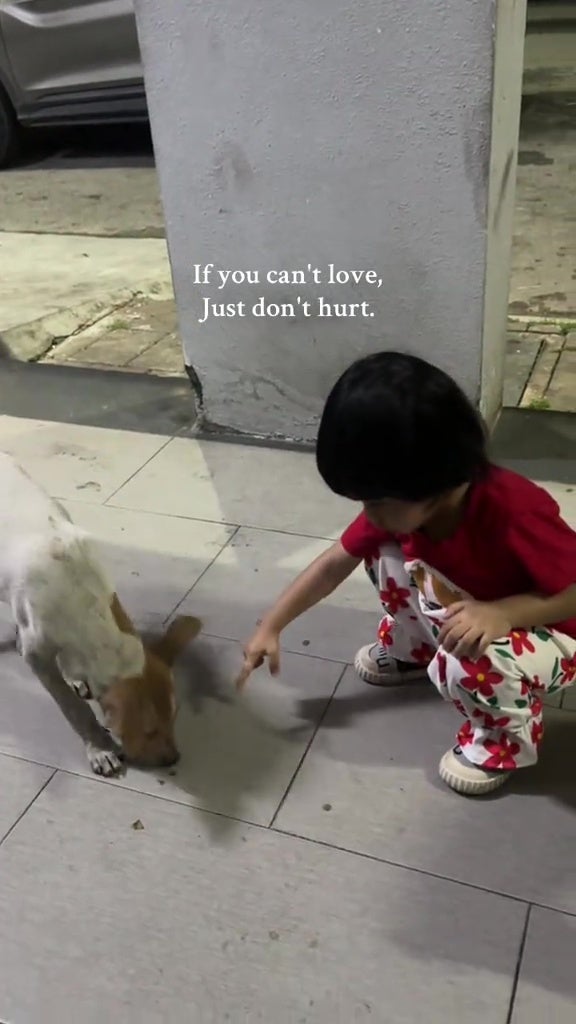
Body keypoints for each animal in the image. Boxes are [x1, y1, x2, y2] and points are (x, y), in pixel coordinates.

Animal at [0, 454, 201, 774]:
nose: (174, 759)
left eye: (174, 717)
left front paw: (74, 676)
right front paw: (99, 748)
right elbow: (73, 708)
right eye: (148, 731)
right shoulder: (38, 654)